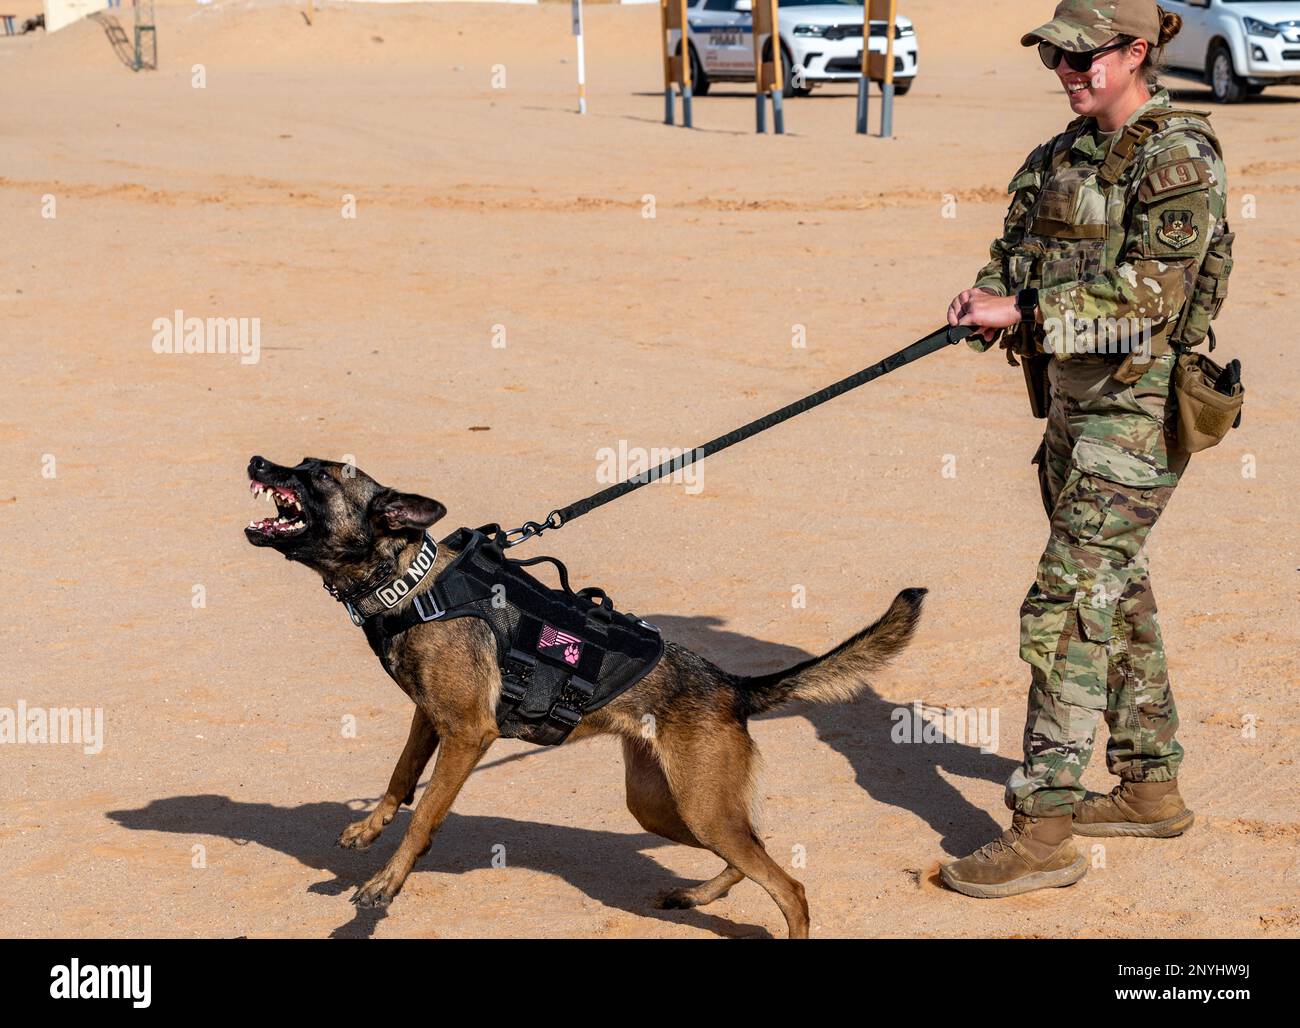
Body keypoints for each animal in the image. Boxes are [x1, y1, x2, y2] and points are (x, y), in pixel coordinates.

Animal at [239, 454, 920, 935]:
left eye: (316, 475)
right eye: (301, 461)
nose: (256, 461)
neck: (409, 582)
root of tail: (732, 686)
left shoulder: (467, 734)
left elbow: (426, 815)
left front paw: (386, 883)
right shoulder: (429, 718)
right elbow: (402, 778)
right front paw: (368, 829)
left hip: (700, 807)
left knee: (790, 888)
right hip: (668, 807)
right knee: (753, 852)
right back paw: (695, 894)